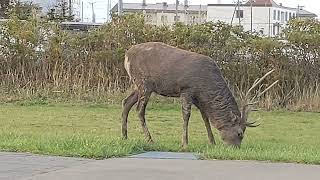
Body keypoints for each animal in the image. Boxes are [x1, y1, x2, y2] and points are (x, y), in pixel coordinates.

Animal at [121, 41, 276, 148]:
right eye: (240, 133)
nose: (235, 148)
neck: (206, 86)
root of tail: (127, 55)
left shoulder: (199, 98)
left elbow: (205, 117)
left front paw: (212, 142)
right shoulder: (187, 89)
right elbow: (186, 115)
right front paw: (184, 143)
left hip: (140, 85)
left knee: (126, 102)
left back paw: (124, 136)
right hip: (144, 82)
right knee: (139, 109)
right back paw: (150, 139)